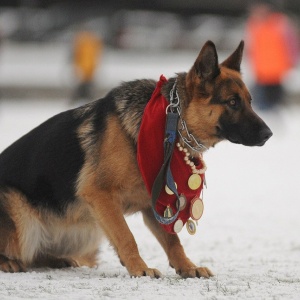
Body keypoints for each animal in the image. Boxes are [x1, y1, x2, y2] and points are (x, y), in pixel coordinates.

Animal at [0, 41, 272, 278]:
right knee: (21, 251)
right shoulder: (99, 195)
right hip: (22, 215)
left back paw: (59, 260)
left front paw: (187, 267)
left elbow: (173, 240)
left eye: (250, 101)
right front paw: (140, 268)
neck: (169, 123)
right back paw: (10, 262)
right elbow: (126, 236)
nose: (268, 134)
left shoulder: (156, 204)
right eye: (233, 102)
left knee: (36, 256)